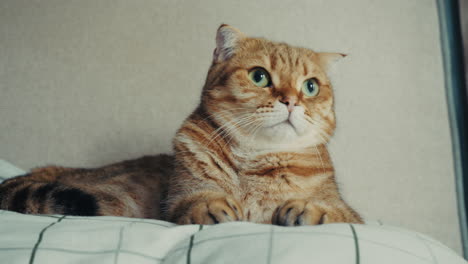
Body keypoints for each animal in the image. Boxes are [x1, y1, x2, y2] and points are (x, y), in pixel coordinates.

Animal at [0, 24, 362, 226]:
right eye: (259, 76)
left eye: (311, 86)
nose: (291, 101)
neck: (256, 163)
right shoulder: (177, 199)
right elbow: (192, 203)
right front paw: (211, 206)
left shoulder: (352, 215)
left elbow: (338, 213)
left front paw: (309, 209)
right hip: (113, 199)